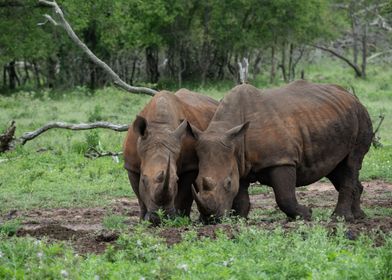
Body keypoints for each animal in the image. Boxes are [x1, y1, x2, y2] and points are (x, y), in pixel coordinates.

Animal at [123, 89, 217, 225]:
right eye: (144, 180)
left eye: (176, 179)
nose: (159, 218)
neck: (160, 128)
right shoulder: (131, 166)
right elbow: (139, 194)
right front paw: (142, 221)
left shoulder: (190, 165)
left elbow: (184, 194)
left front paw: (181, 219)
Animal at [190, 81, 374, 223]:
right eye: (196, 182)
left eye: (227, 183)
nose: (211, 219)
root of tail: (352, 97)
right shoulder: (238, 161)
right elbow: (240, 195)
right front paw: (239, 219)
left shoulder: (281, 160)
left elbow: (284, 196)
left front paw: (306, 215)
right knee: (337, 168)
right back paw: (359, 216)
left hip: (361, 117)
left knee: (351, 163)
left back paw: (340, 219)